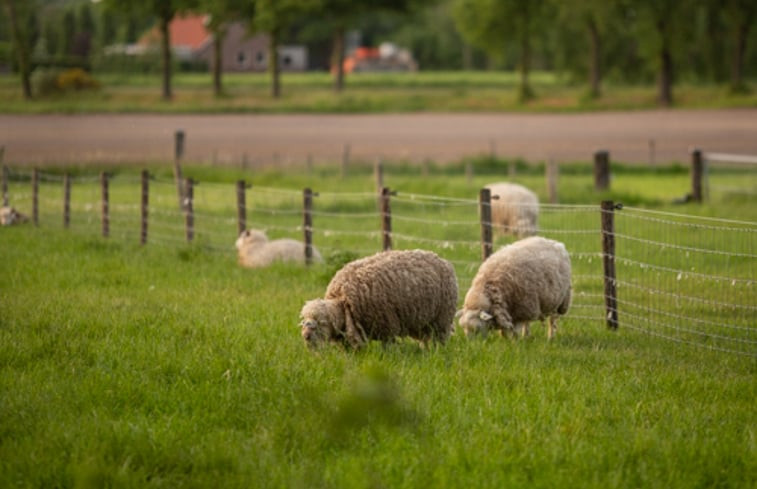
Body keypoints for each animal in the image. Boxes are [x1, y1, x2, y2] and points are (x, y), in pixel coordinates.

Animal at [298, 250, 458, 348]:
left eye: (322, 323)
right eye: (304, 320)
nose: (306, 336)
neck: (343, 299)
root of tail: (440, 258)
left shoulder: (387, 325)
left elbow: (388, 346)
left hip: (441, 319)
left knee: (440, 340)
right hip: (423, 321)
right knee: (425, 339)